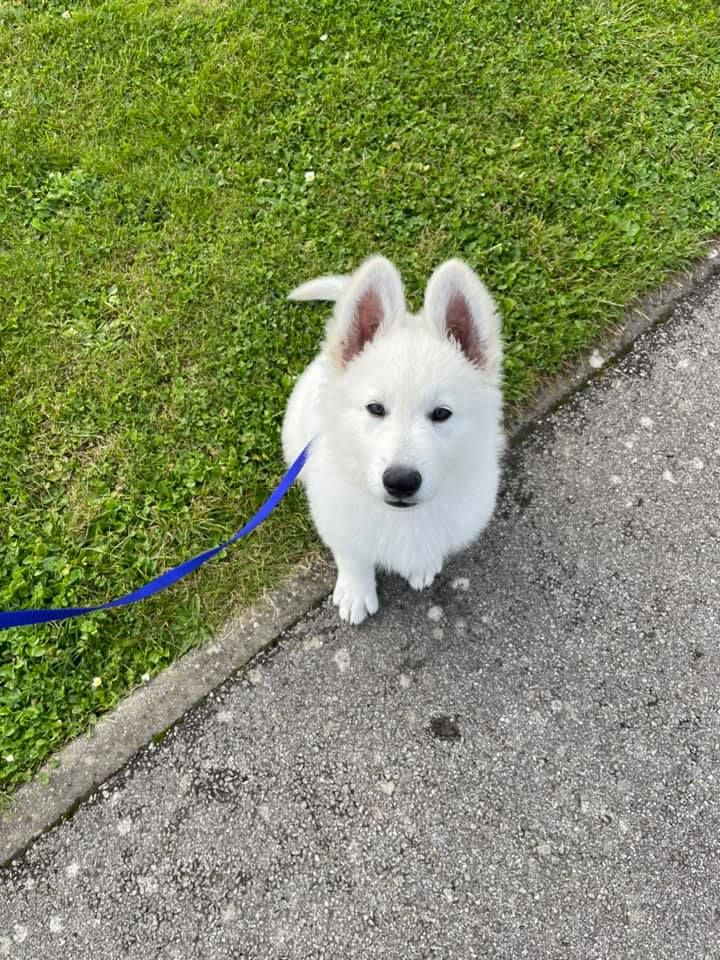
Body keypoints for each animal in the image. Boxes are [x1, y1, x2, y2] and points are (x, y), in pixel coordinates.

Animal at [278, 255, 504, 624]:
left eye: (441, 413)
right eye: (375, 408)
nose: (401, 482)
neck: (402, 517)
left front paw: (423, 565)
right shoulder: (337, 519)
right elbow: (353, 555)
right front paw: (356, 592)